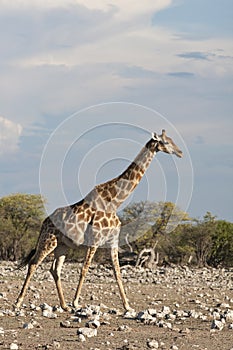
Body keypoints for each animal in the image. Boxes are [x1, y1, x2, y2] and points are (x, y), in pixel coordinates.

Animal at [15, 129, 182, 312]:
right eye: (166, 142)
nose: (180, 152)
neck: (115, 202)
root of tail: (44, 221)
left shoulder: (113, 241)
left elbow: (117, 272)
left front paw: (127, 305)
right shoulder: (95, 240)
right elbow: (84, 269)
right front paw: (76, 302)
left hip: (62, 246)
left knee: (55, 270)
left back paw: (64, 305)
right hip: (48, 241)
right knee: (33, 264)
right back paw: (19, 302)